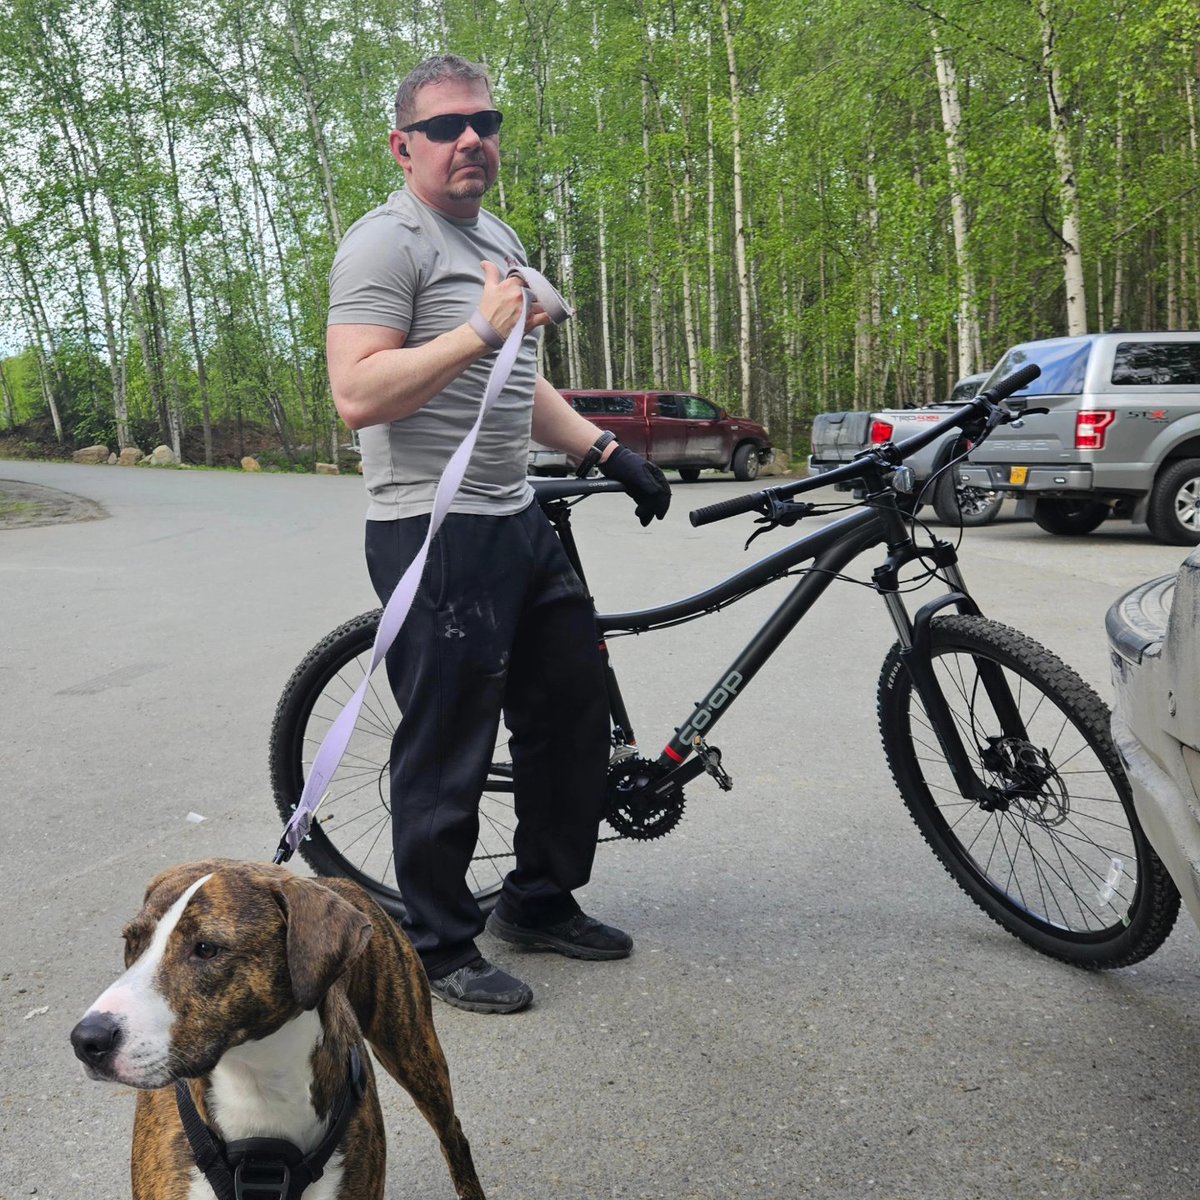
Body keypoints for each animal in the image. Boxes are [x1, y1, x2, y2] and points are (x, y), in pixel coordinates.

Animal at [69, 864, 482, 1200]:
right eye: (132, 943)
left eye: (206, 948)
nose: (87, 1040)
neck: (255, 1079)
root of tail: (329, 879)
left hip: (414, 1053)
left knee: (453, 1134)